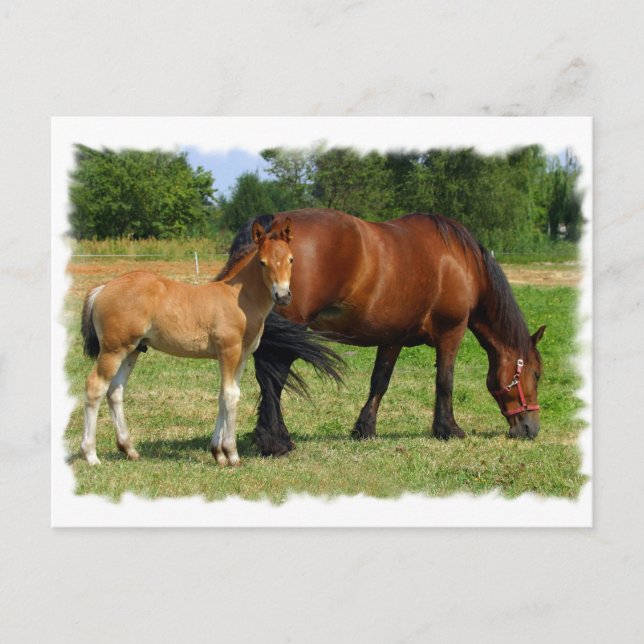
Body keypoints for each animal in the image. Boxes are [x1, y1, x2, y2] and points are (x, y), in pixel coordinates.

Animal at [79, 217, 301, 467]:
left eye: (291, 259)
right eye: (262, 263)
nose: (282, 296)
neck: (239, 299)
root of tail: (103, 288)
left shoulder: (241, 356)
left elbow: (223, 395)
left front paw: (218, 453)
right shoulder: (229, 351)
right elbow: (231, 396)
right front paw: (232, 454)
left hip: (132, 350)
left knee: (115, 391)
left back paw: (129, 450)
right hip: (113, 350)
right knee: (95, 387)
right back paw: (91, 454)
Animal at [219, 208, 546, 457]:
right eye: (537, 374)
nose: (530, 429)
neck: (462, 263)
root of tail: (271, 228)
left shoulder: (393, 338)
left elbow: (380, 381)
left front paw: (365, 428)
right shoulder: (451, 333)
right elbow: (445, 381)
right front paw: (448, 429)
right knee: (273, 380)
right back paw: (276, 442)